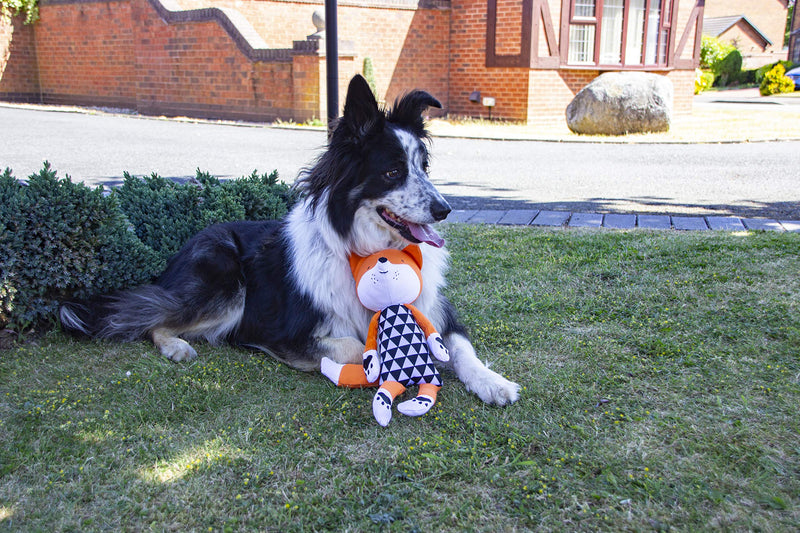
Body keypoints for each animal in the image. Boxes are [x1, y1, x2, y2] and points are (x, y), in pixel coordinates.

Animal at [61, 75, 520, 406]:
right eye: (392, 172)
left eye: (422, 167)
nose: (444, 209)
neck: (371, 252)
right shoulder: (279, 331)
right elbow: (354, 346)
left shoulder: (438, 312)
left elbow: (461, 349)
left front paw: (493, 382)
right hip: (225, 284)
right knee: (148, 318)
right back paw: (175, 345)